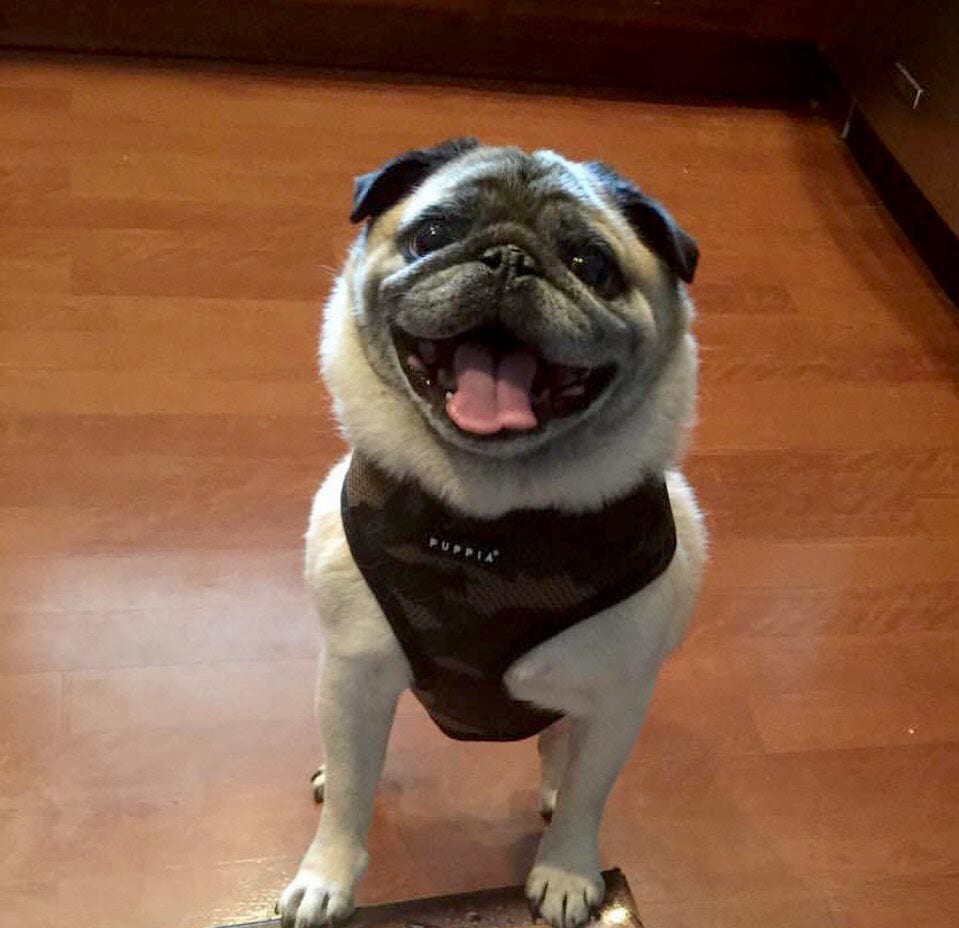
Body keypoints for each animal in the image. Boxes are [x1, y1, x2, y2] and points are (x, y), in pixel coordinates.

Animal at [278, 140, 704, 928]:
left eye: (592, 266)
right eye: (431, 236)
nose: (508, 258)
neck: (488, 518)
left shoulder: (617, 699)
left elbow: (588, 797)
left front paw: (567, 872)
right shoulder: (353, 670)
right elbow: (351, 795)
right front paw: (327, 876)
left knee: (561, 751)